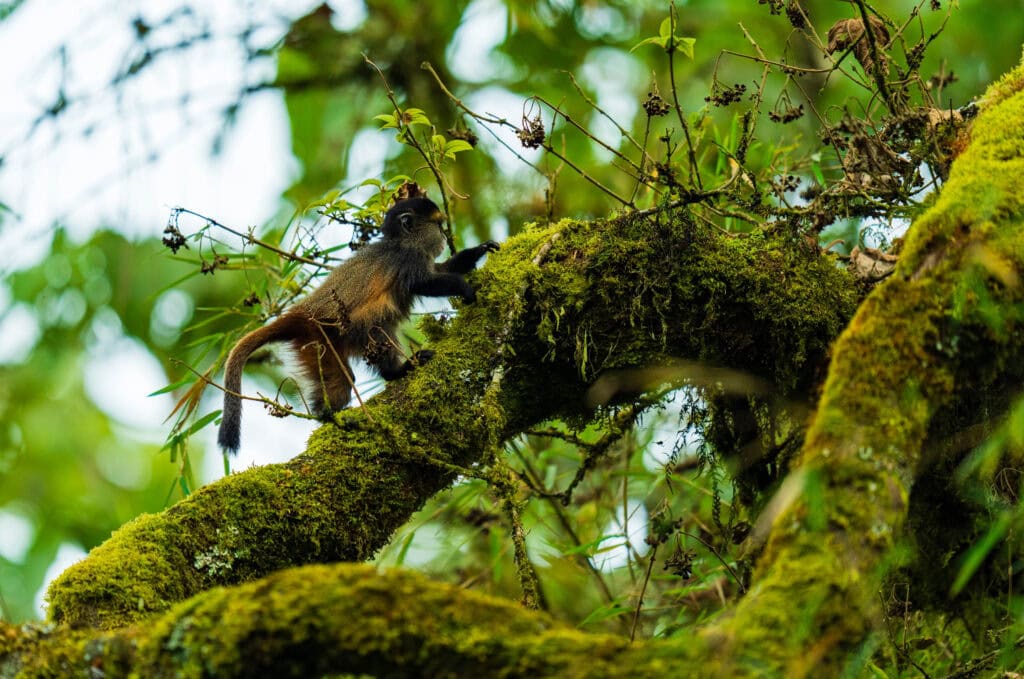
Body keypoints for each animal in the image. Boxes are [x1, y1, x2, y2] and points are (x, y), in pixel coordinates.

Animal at [216, 196, 499, 453]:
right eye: (438, 225)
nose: (442, 236)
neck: (400, 241)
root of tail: (299, 313)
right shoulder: (408, 258)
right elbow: (425, 282)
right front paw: (465, 288)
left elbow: (440, 269)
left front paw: (479, 250)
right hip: (318, 337)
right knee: (370, 333)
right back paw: (387, 377)